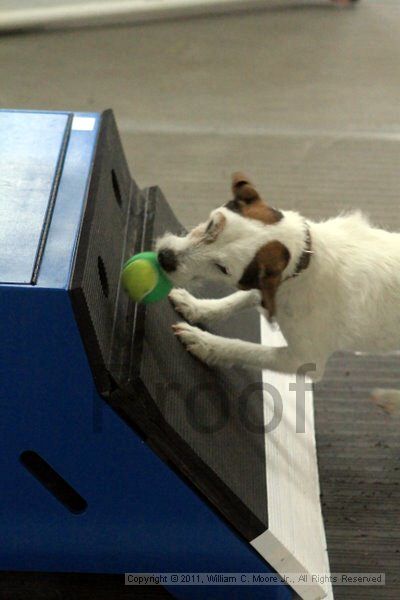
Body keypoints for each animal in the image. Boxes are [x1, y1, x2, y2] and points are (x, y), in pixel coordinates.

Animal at [155, 172, 400, 380]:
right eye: (211, 225)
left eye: (223, 268)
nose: (165, 258)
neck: (304, 260)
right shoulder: (269, 288)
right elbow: (235, 300)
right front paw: (197, 307)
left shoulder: (303, 360)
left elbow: (244, 349)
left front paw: (204, 342)